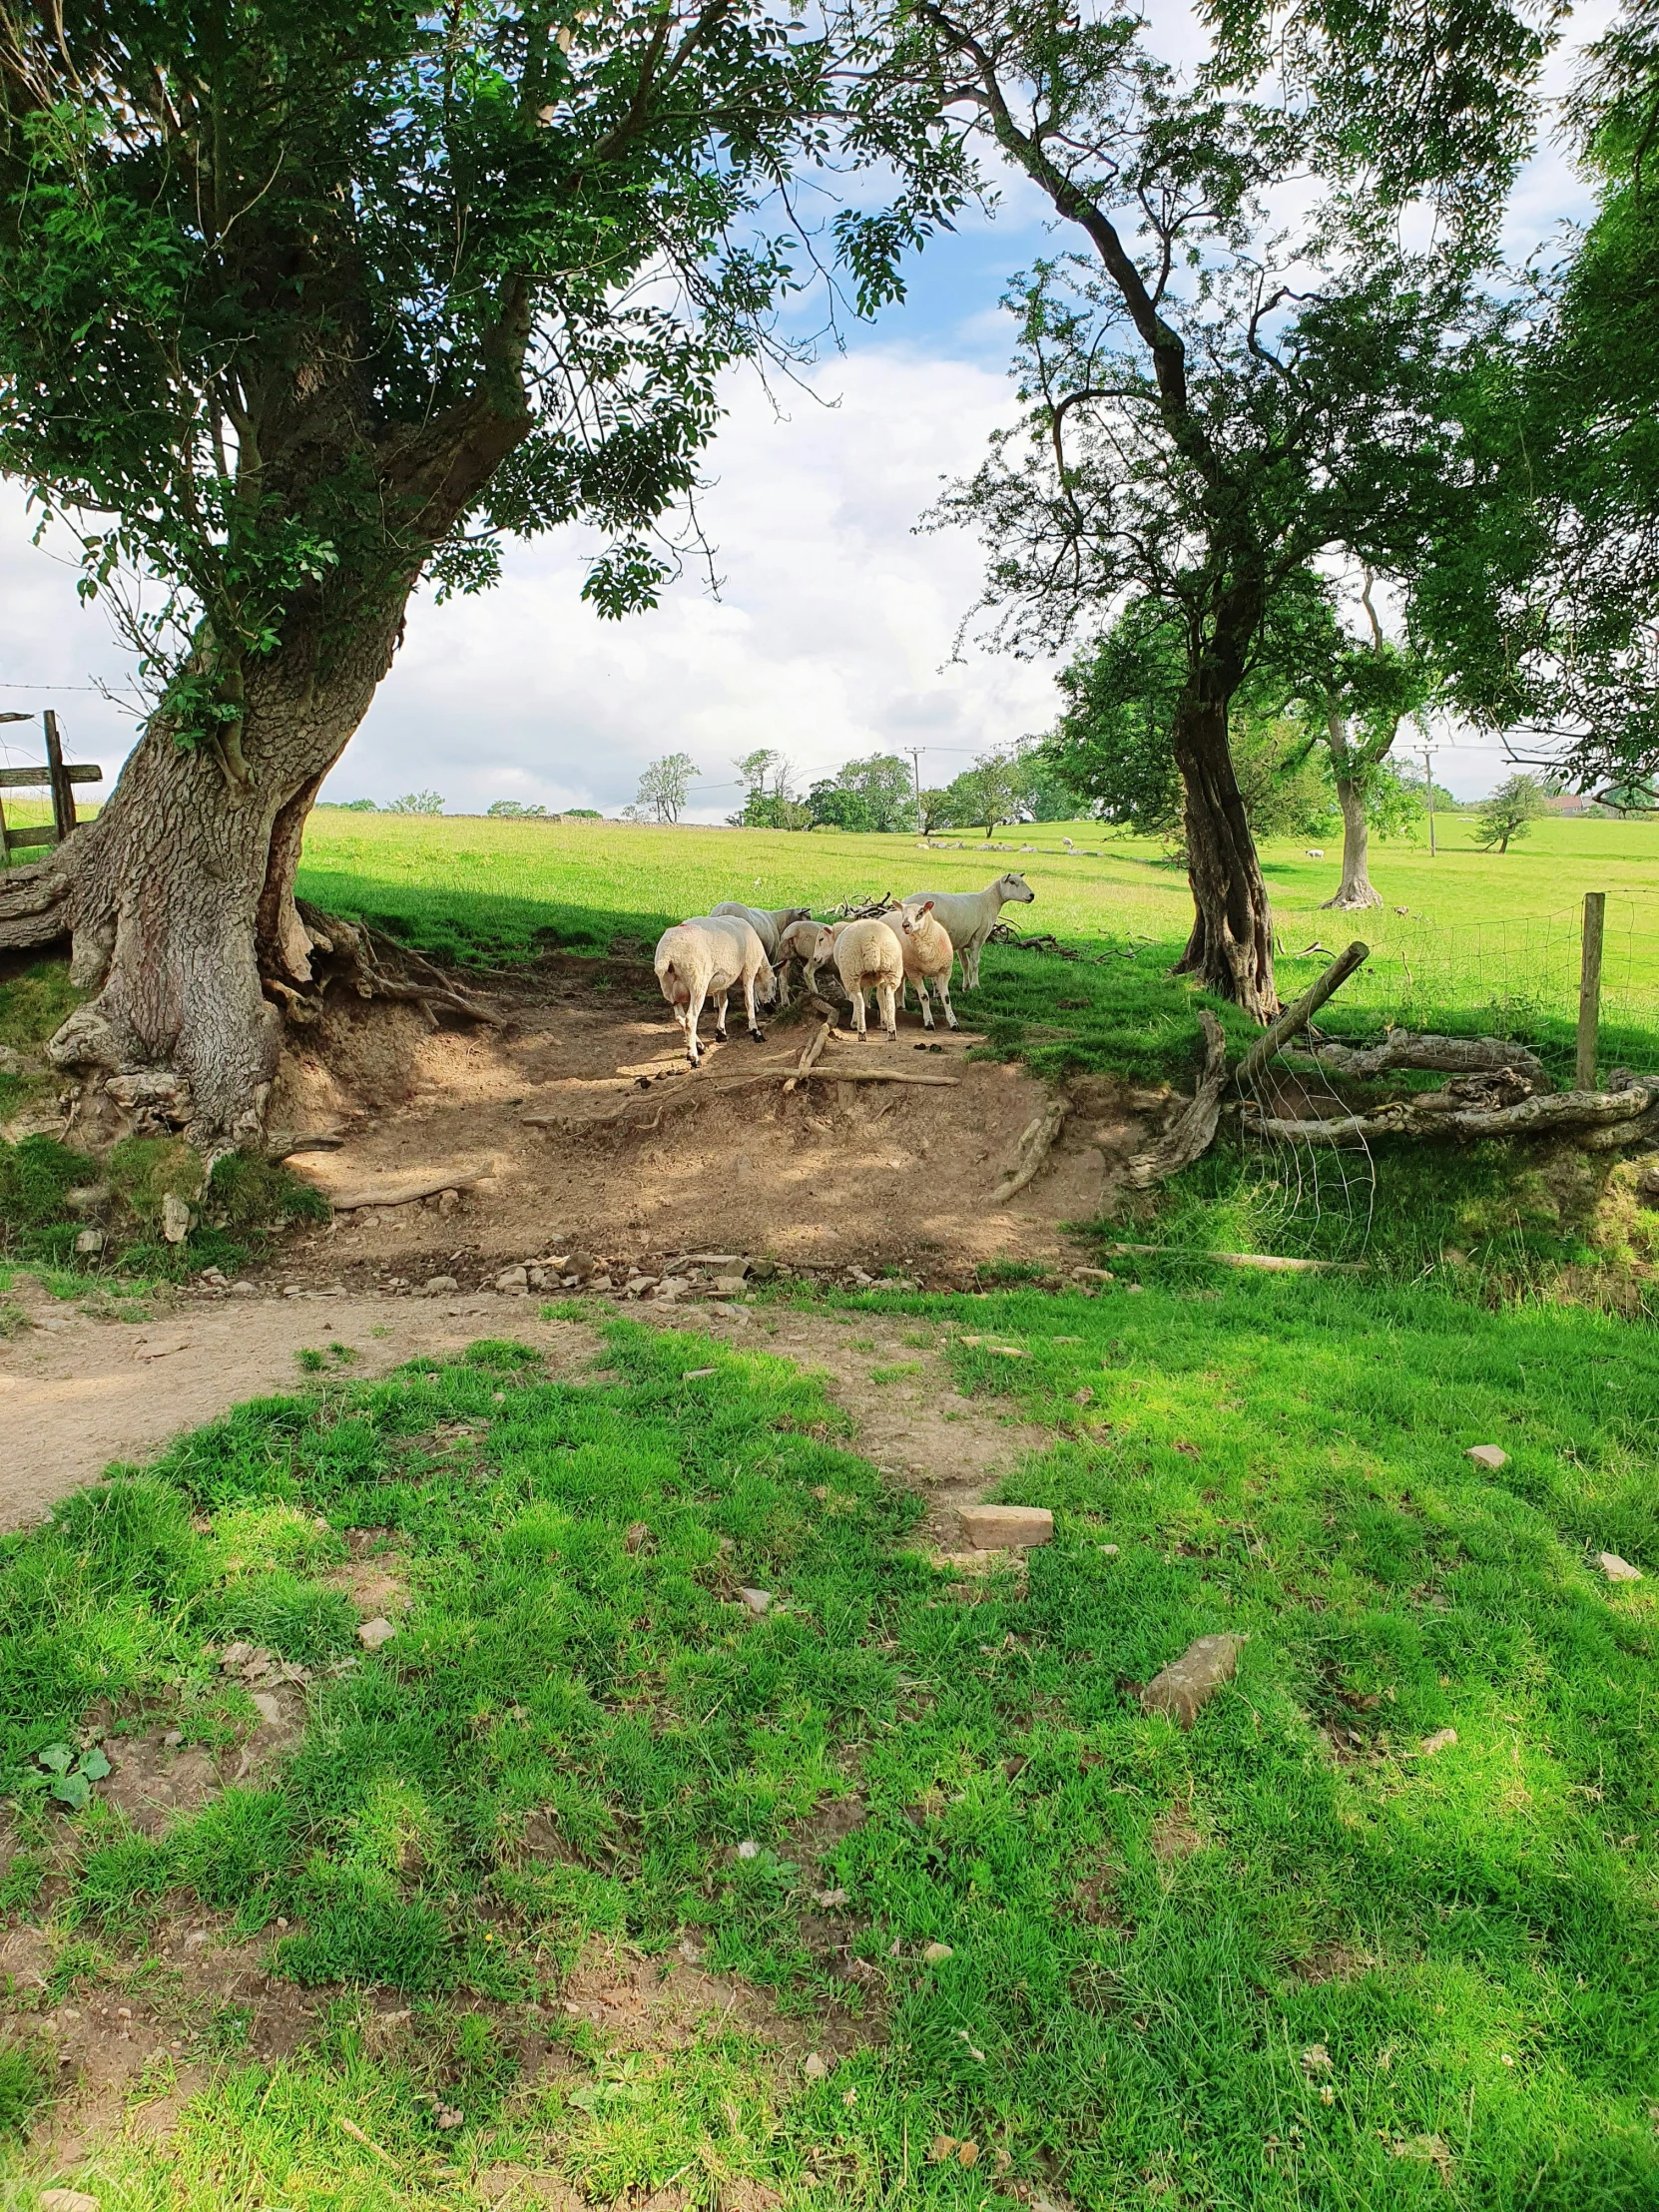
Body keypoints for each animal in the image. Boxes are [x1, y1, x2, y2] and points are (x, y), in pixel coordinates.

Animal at [654, 906, 779, 1061]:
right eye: (774, 986)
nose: (773, 1008)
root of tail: (668, 954)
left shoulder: (722, 978)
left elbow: (723, 1004)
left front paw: (721, 1033)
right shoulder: (749, 968)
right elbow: (748, 1001)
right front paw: (755, 1032)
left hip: (669, 989)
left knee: (680, 1018)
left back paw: (699, 1046)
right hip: (697, 983)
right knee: (690, 1019)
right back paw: (693, 1057)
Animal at [902, 871, 1035, 986]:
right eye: (1012, 882)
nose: (1032, 895)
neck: (989, 901)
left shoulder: (962, 939)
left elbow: (965, 964)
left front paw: (965, 986)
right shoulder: (979, 936)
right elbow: (974, 963)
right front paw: (975, 985)